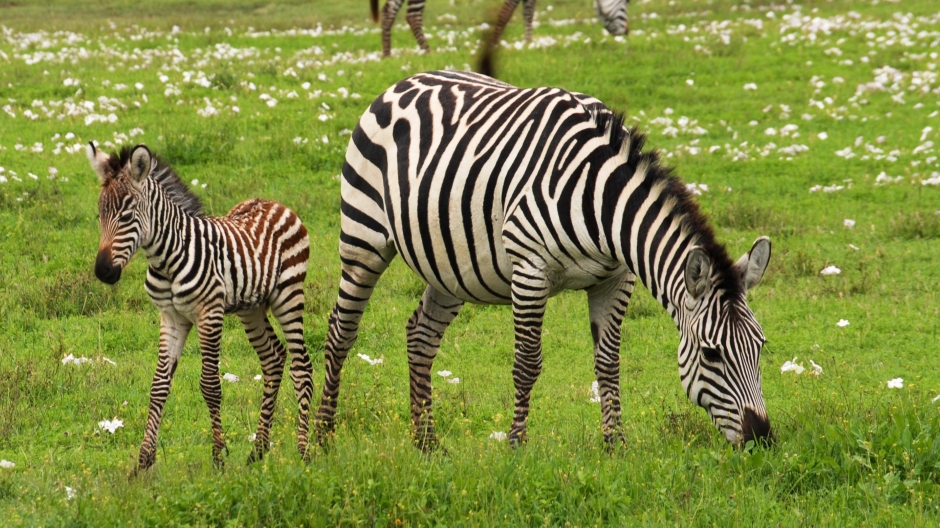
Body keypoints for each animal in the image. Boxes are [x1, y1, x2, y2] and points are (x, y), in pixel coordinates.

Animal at [88, 143, 316, 470]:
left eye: (128, 215)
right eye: (100, 214)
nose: (103, 272)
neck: (167, 258)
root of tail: (275, 203)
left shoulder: (209, 314)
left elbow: (210, 386)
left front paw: (218, 457)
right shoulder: (171, 317)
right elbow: (159, 386)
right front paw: (144, 461)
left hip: (289, 295)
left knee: (302, 367)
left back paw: (303, 451)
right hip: (251, 308)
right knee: (273, 359)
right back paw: (258, 450)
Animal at [320, 70, 776, 450]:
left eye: (760, 347)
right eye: (712, 354)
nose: (762, 438)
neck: (601, 201)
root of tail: (402, 82)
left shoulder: (616, 279)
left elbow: (608, 364)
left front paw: (616, 445)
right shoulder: (530, 270)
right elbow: (527, 362)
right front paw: (516, 445)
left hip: (449, 265)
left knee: (421, 336)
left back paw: (426, 442)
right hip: (363, 236)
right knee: (341, 331)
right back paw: (321, 438)